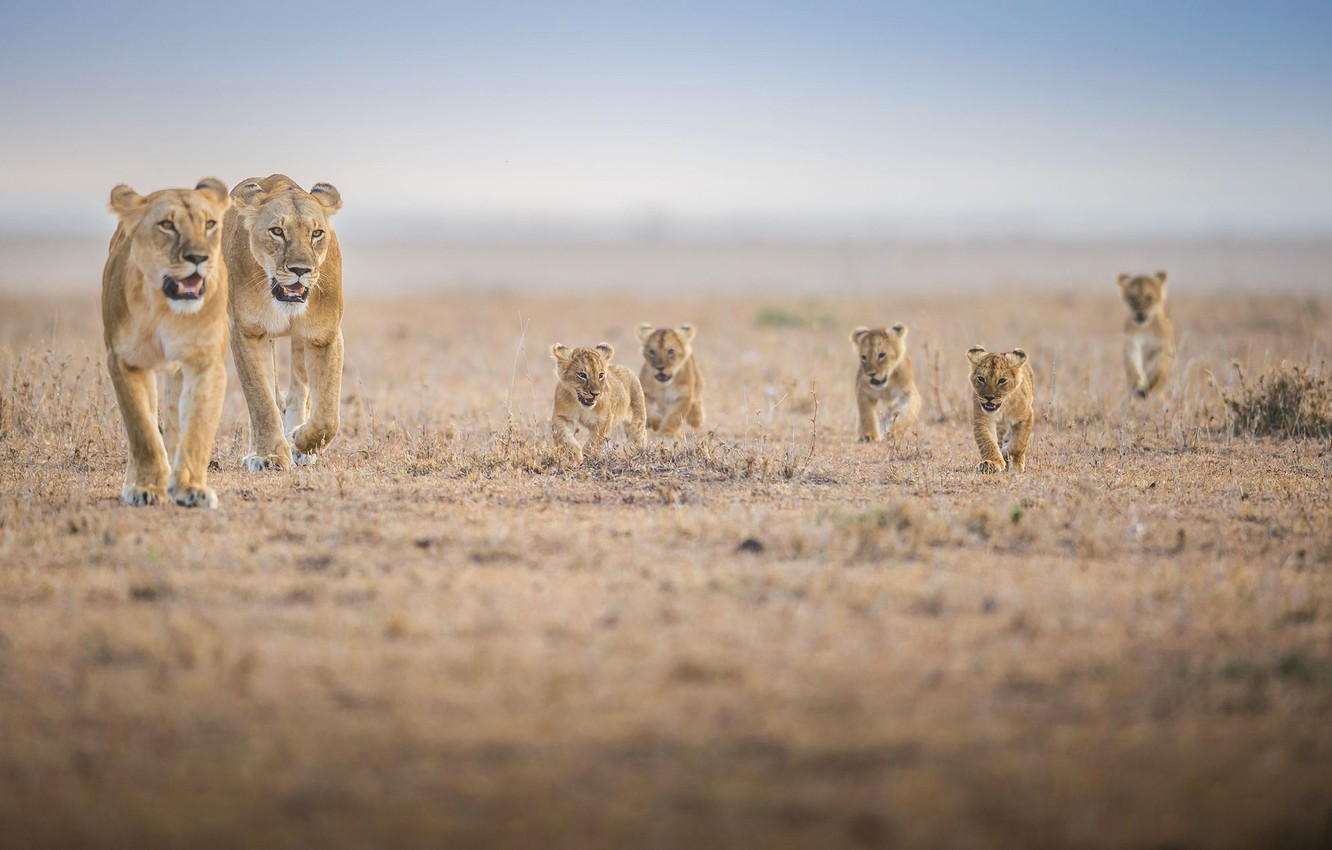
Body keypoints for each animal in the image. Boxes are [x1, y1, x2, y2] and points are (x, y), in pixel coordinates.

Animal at [101, 178, 231, 507]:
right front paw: (145, 488)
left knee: (174, 425)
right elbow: (142, 430)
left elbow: (197, 429)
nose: (198, 258)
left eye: (209, 224)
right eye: (167, 225)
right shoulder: (125, 361)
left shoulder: (205, 363)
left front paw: (190, 488)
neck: (167, 310)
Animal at [223, 175, 344, 471]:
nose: (301, 270)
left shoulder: (324, 334)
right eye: (277, 231)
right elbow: (261, 400)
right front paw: (269, 455)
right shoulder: (247, 332)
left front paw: (300, 441)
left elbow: (328, 415)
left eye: (316, 233)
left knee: (299, 392)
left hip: (301, 340)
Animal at [967, 345, 1035, 474]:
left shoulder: (1026, 417)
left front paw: (1007, 452)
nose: (989, 397)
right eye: (981, 378)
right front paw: (992, 463)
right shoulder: (983, 420)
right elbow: (987, 442)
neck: (1003, 407)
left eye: (1002, 380)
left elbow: (1019, 444)